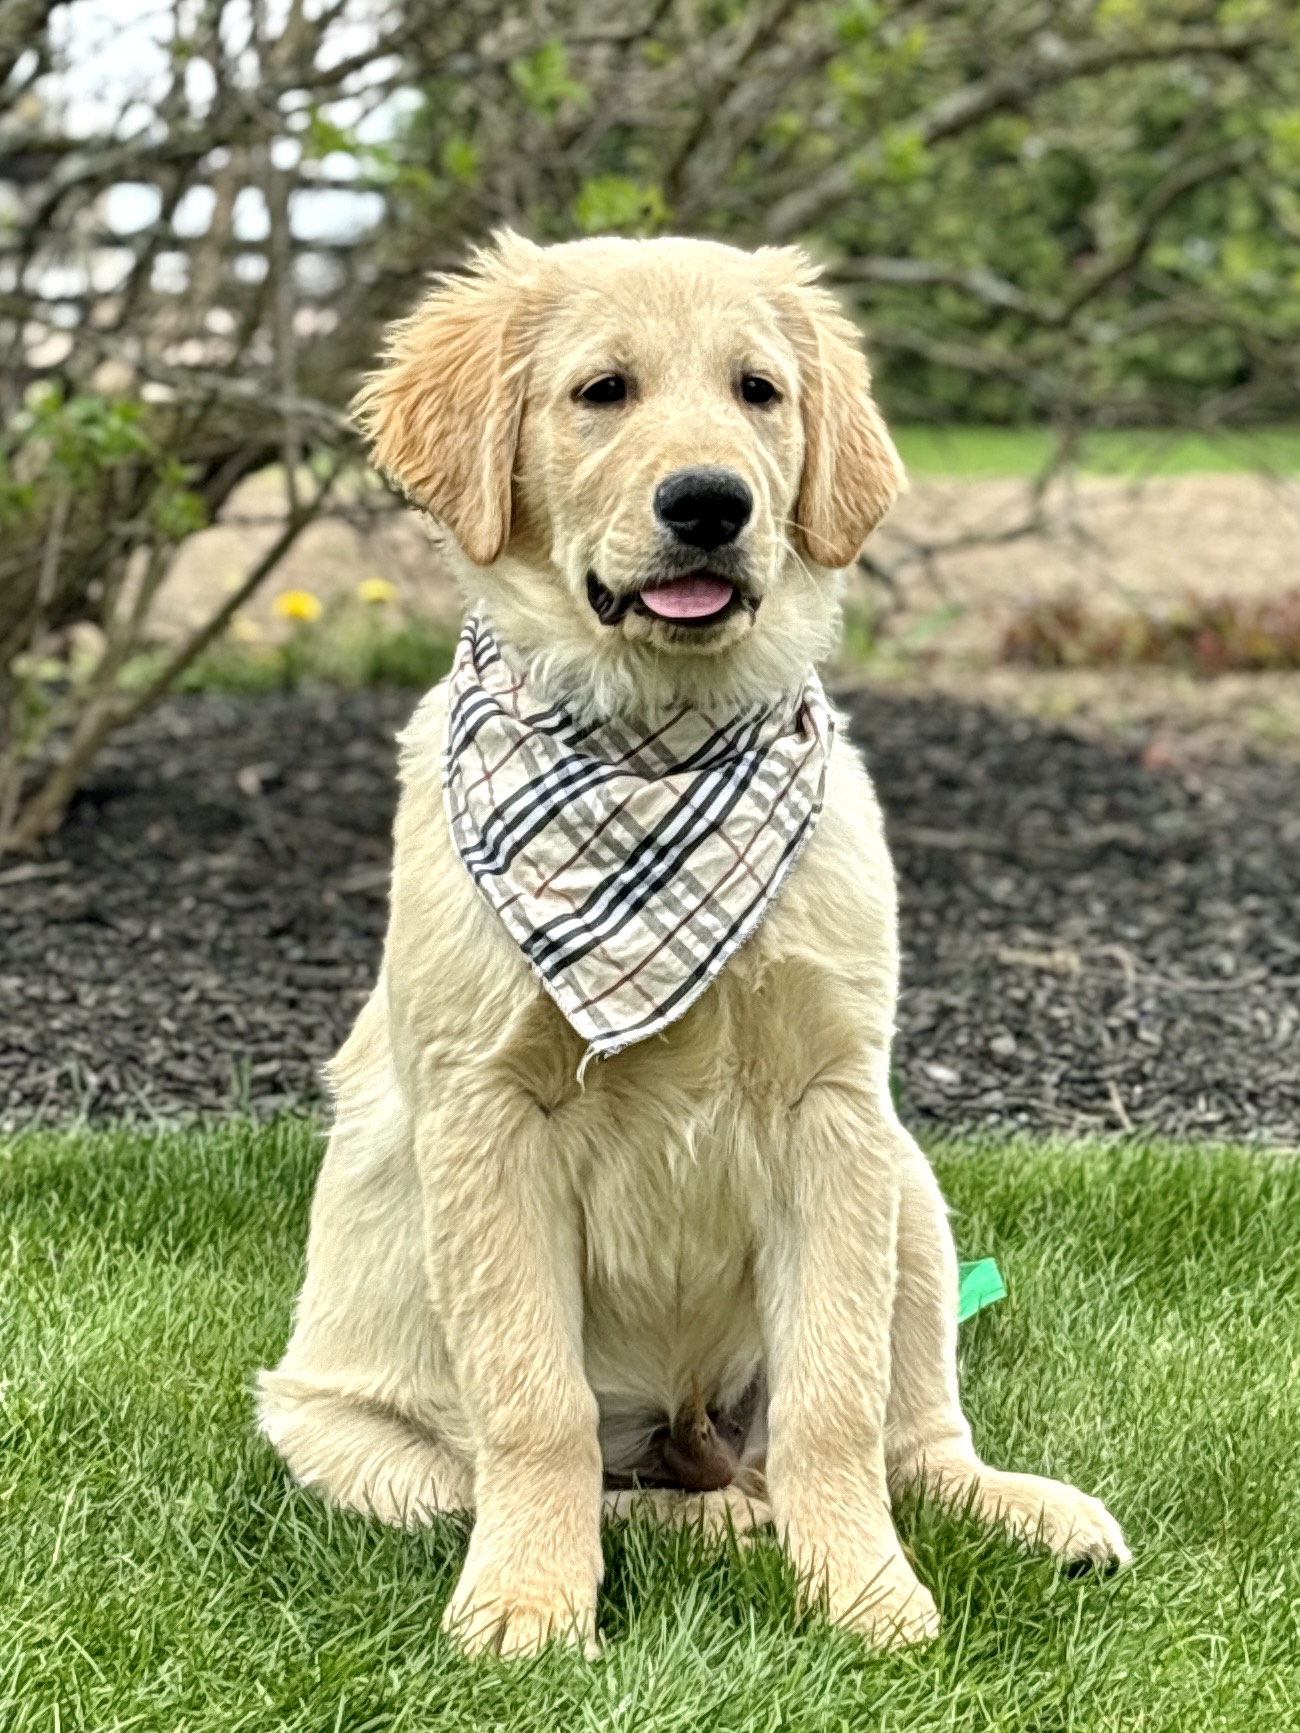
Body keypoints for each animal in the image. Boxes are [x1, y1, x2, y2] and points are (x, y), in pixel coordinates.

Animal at [256, 230, 1130, 1649]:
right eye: (601, 391)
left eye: (757, 391)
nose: (711, 502)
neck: (656, 741)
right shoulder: (487, 1119)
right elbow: (537, 1406)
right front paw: (527, 1605)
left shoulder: (832, 1105)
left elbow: (834, 1399)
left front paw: (865, 1593)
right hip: (349, 1440)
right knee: (577, 1482)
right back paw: (715, 1521)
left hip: (908, 1190)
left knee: (905, 1437)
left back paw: (1011, 1509)